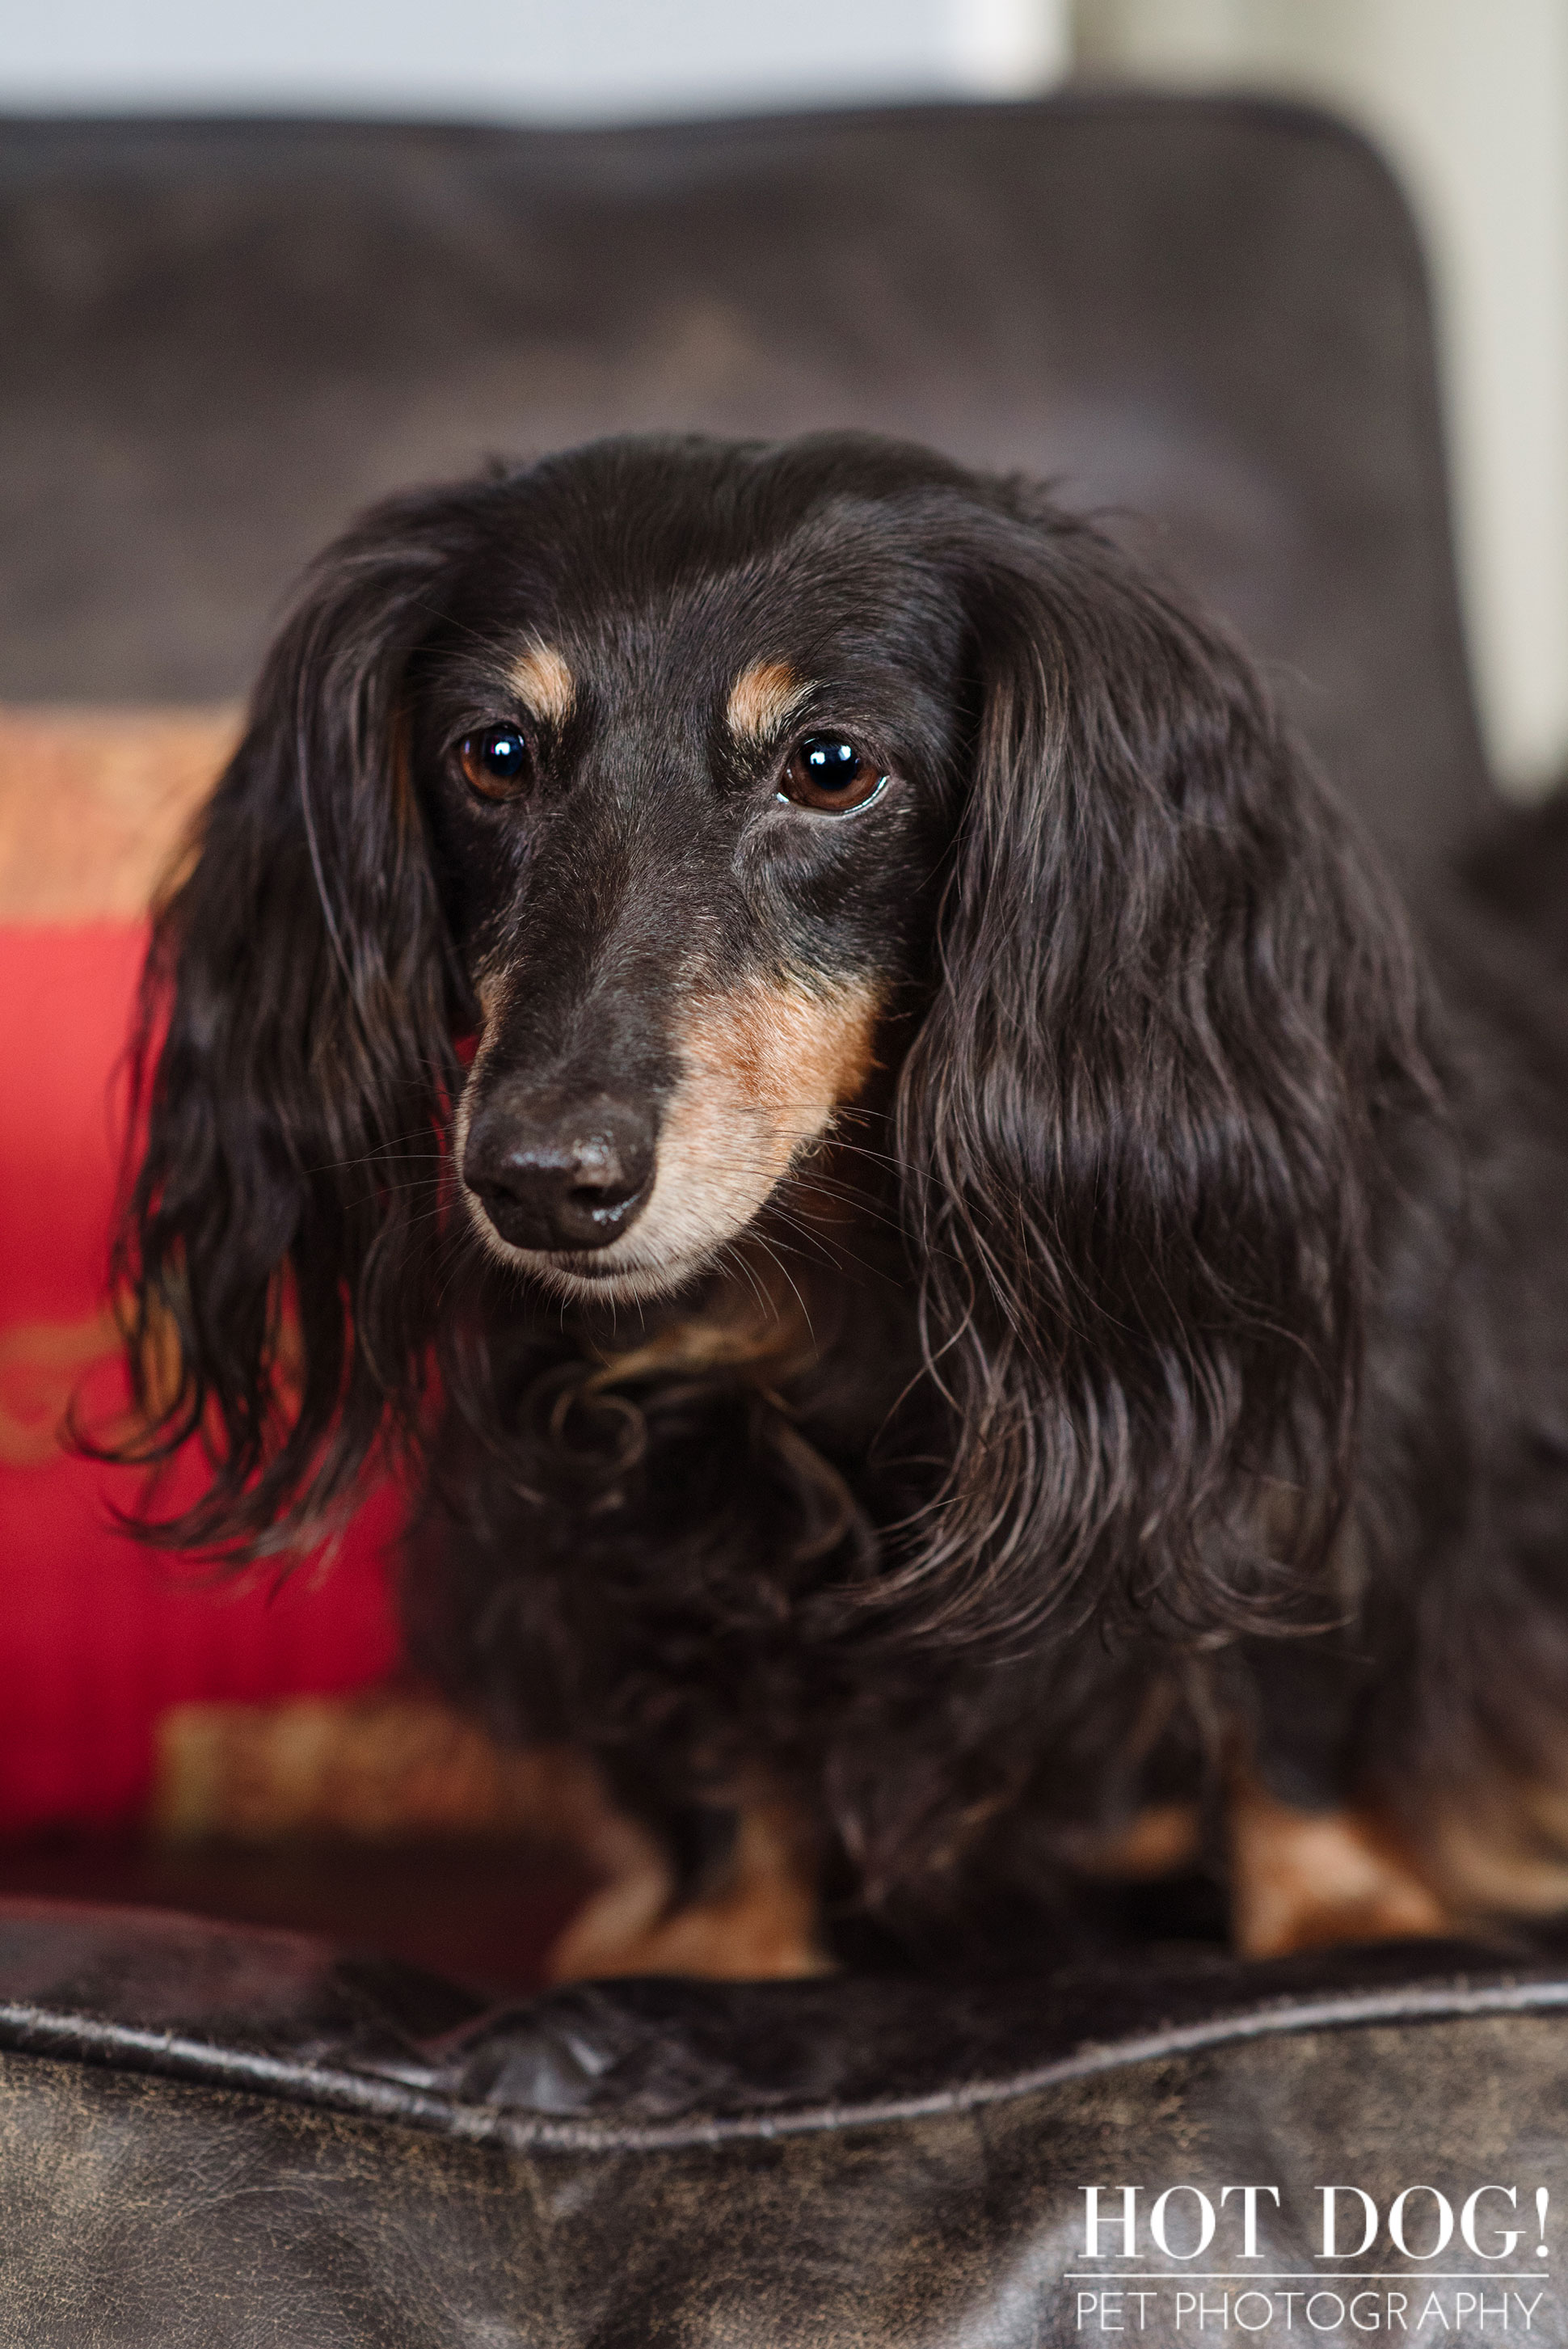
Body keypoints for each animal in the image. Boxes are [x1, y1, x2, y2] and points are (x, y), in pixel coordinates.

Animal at [110, 432, 1568, 1973]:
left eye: (829, 766)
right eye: (492, 753)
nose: (542, 1183)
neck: (838, 1301)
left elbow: (1290, 1685)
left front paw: (1342, 1914)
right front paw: (716, 1936)